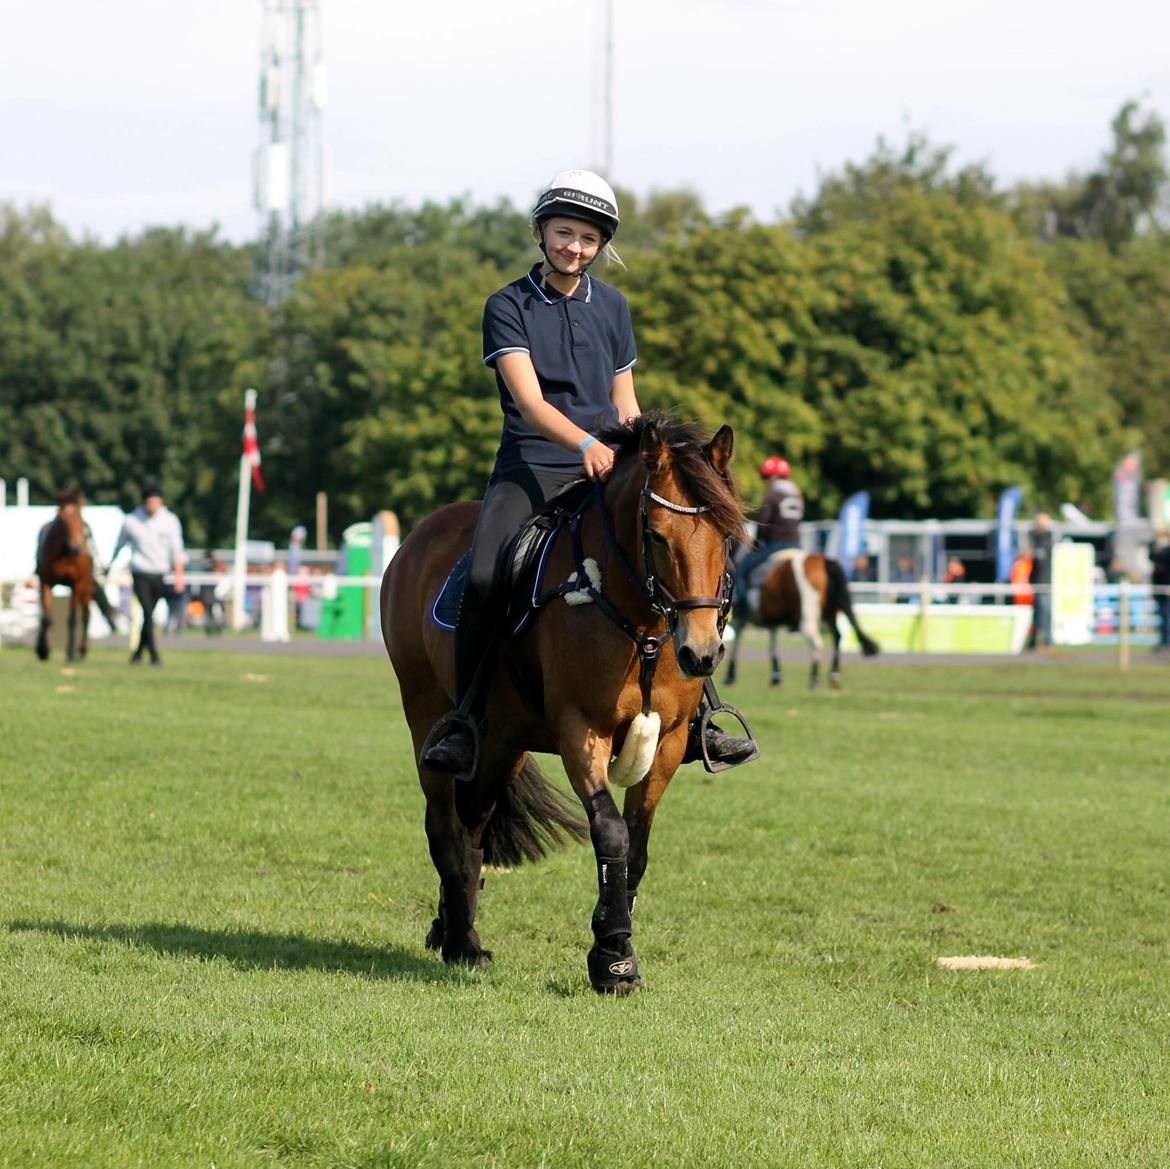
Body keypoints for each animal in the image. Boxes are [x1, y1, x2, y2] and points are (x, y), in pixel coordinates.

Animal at [35, 489, 98, 664]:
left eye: (79, 515)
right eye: (61, 517)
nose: (76, 547)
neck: (65, 553)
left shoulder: (76, 584)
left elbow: (72, 619)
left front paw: (70, 653)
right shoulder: (46, 582)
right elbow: (47, 617)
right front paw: (43, 650)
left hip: (86, 585)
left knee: (85, 615)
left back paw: (82, 649)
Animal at [379, 416, 744, 992]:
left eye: (726, 537)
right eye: (656, 536)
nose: (701, 653)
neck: (635, 619)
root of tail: (421, 534)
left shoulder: (667, 740)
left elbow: (637, 846)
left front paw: (616, 945)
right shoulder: (581, 729)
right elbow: (611, 832)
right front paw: (613, 959)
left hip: (501, 742)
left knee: (472, 825)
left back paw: (455, 927)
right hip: (425, 713)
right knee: (444, 824)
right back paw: (462, 943)